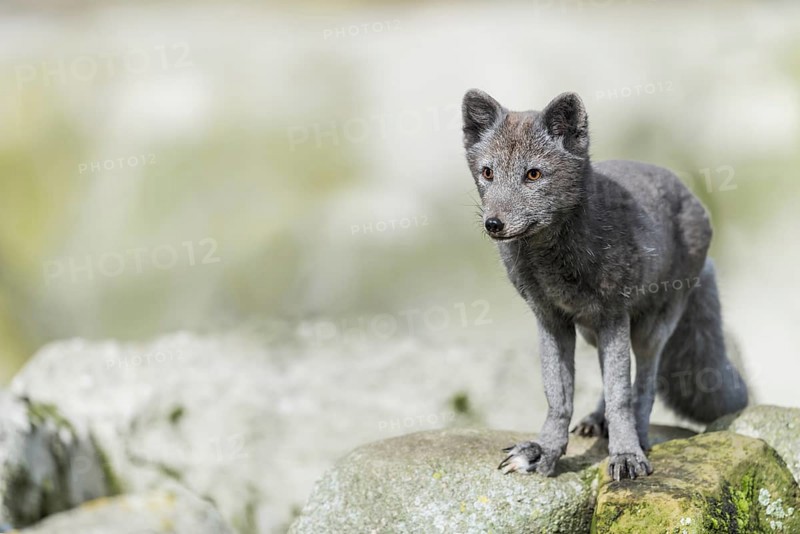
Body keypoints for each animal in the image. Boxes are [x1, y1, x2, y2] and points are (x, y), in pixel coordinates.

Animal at [461, 89, 748, 481]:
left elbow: (621, 394)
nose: (494, 223)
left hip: (650, 328)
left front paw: (625, 454)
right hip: (592, 332)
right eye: (487, 173)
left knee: (644, 383)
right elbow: (558, 396)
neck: (553, 262)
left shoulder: (614, 315)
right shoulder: (551, 320)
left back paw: (638, 436)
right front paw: (543, 451)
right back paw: (598, 420)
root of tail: (693, 199)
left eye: (533, 174)